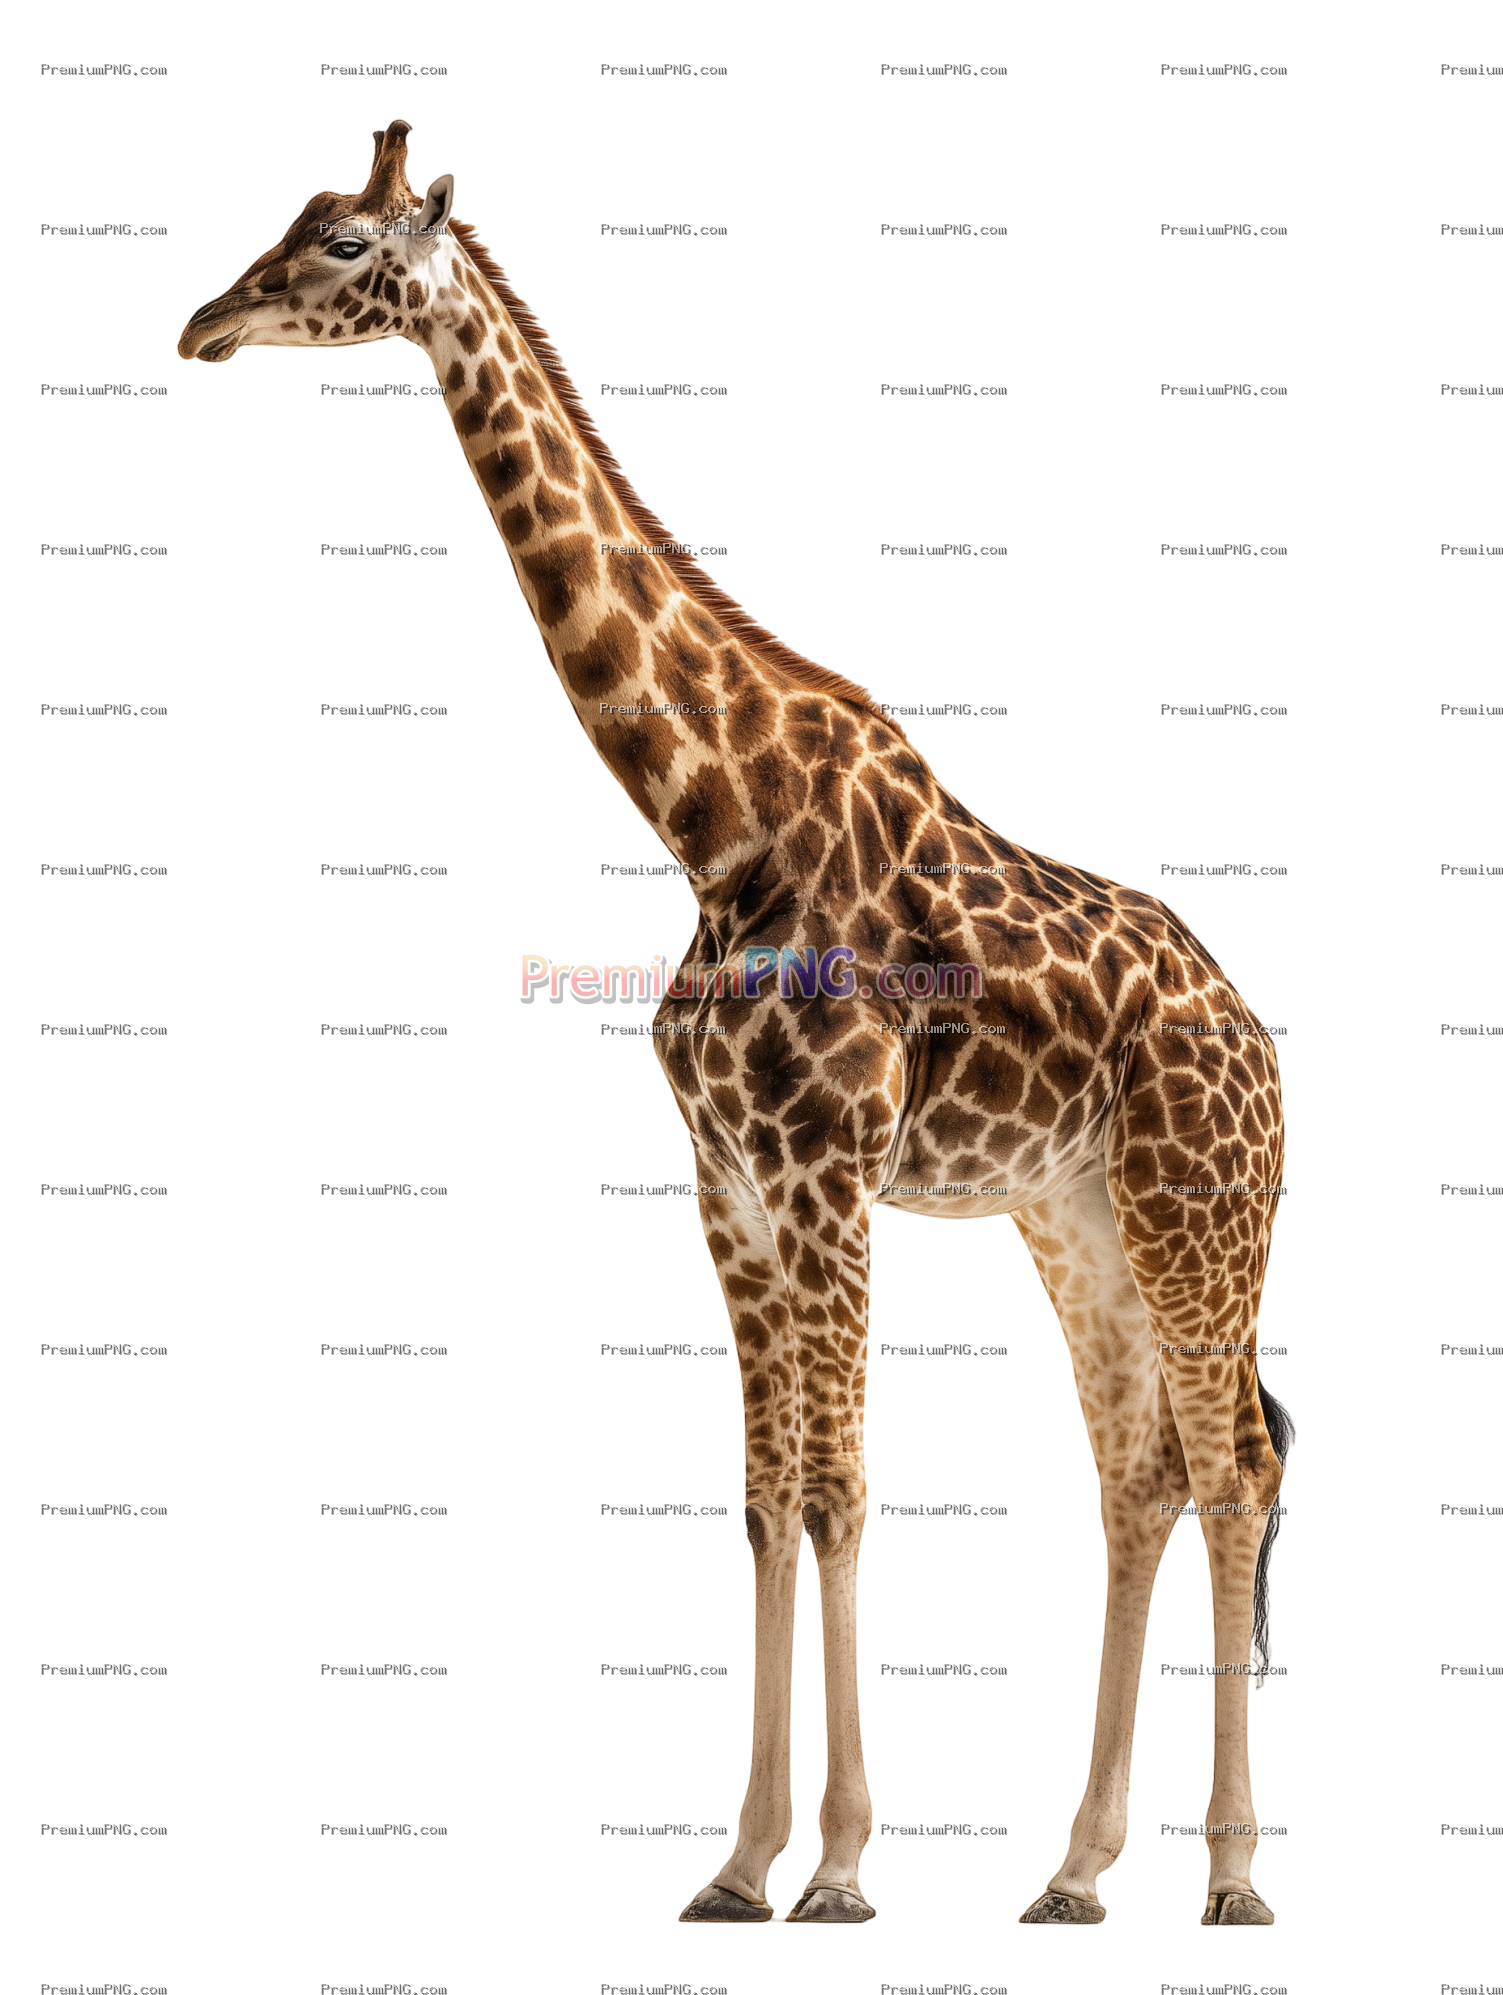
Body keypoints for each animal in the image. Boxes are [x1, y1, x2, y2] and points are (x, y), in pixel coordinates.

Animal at [178, 120, 1297, 1930]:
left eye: (343, 243)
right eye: (287, 219)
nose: (201, 324)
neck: (713, 821)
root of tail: (1262, 1044)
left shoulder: (828, 1173)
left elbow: (839, 1492)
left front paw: (837, 1866)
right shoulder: (730, 1184)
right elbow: (766, 1504)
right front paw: (738, 1860)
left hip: (1197, 1210)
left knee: (1235, 1466)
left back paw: (1231, 1877)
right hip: (1074, 1216)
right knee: (1138, 1477)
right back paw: (1070, 1870)